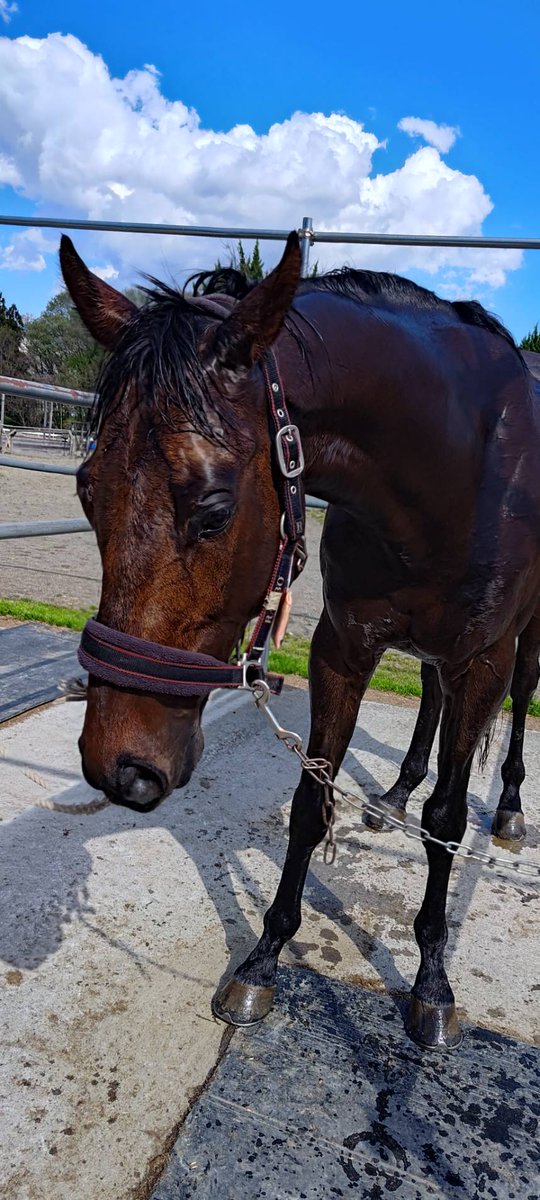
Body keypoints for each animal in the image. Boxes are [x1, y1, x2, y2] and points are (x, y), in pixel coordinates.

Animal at [59, 231, 540, 1050]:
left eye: (214, 509)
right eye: (88, 488)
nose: (119, 768)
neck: (458, 466)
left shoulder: (485, 661)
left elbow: (446, 823)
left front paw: (431, 981)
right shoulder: (344, 649)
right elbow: (312, 802)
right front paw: (263, 957)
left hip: (527, 639)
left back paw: (505, 807)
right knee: (427, 699)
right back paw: (397, 789)